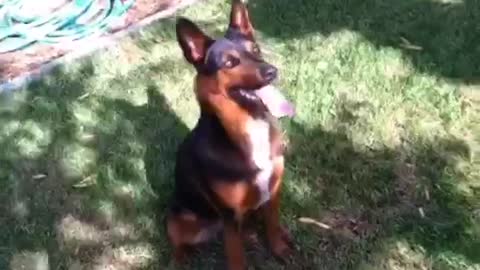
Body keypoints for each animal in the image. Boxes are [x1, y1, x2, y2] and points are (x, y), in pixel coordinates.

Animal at [168, 1, 296, 268]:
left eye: (256, 49)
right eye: (229, 63)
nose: (272, 71)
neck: (249, 123)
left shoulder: (273, 191)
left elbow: (272, 224)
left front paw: (278, 248)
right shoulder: (229, 216)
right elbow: (236, 255)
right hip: (178, 218)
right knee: (177, 243)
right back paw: (179, 259)